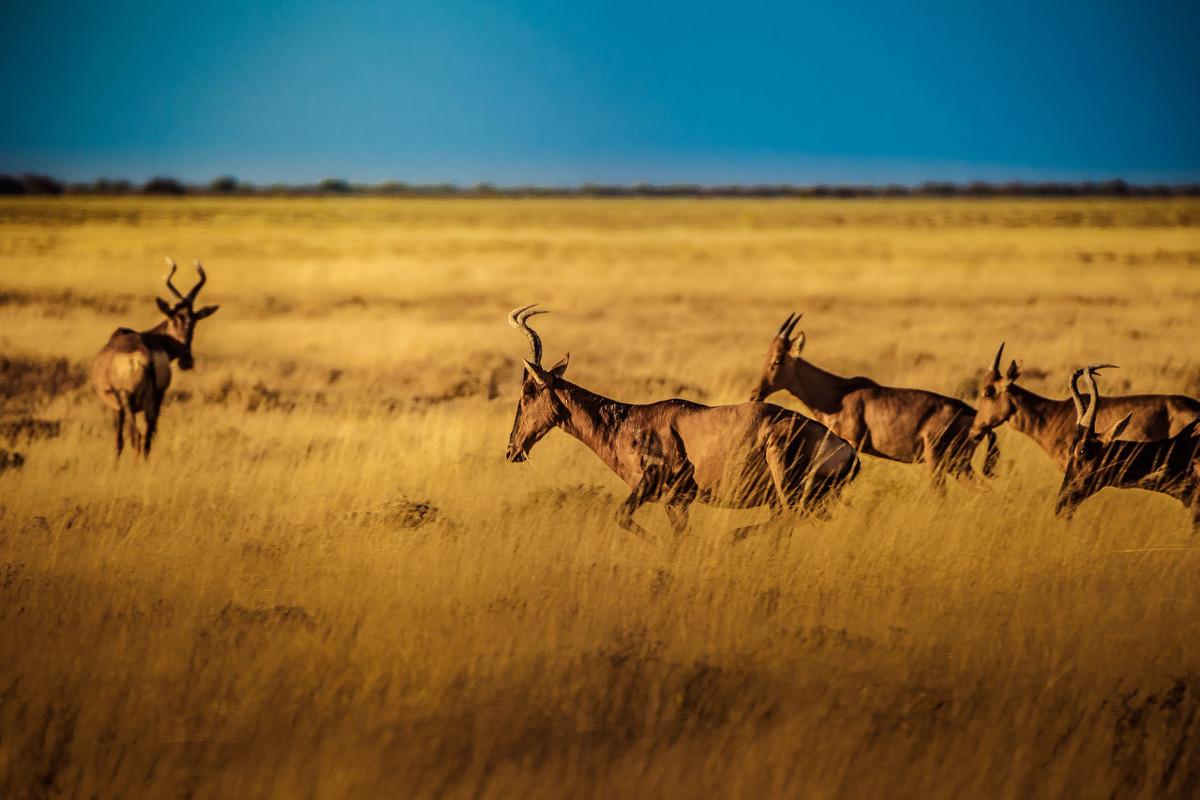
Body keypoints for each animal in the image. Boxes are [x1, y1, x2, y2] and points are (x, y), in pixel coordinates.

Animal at [91, 261, 220, 455]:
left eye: (194, 320)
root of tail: (145, 358)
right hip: (156, 399)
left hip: (128, 401)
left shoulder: (116, 407)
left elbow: (118, 442)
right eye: (173, 318)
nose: (187, 361)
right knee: (148, 438)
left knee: (136, 437)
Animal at [501, 304, 859, 537]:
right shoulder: (677, 504)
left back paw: (734, 537)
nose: (511, 450)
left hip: (786, 480)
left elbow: (625, 517)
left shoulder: (658, 487)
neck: (631, 420)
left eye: (527, 392)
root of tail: (848, 452)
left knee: (788, 519)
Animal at [748, 316, 993, 484]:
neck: (839, 394)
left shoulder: (852, 443)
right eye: (766, 357)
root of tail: (974, 416)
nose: (755, 393)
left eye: (778, 360)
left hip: (940, 461)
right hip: (957, 465)